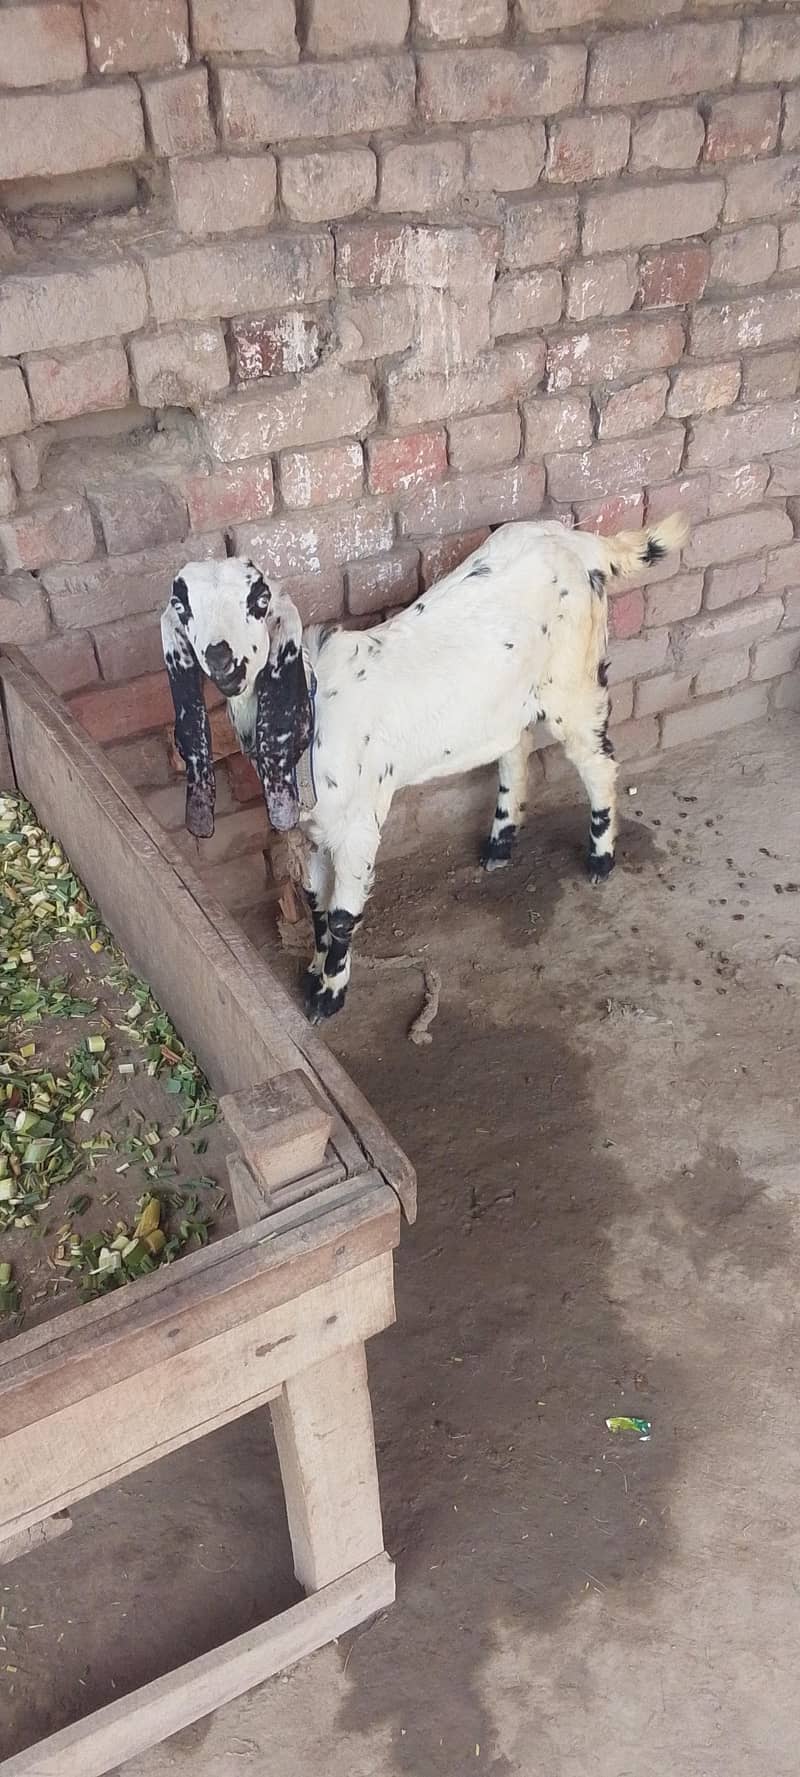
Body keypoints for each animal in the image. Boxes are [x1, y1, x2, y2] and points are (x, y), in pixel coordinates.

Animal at [162, 512, 689, 1022]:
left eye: (259, 599)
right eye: (182, 605)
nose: (222, 658)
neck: (313, 707)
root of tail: (580, 541)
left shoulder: (358, 825)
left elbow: (341, 915)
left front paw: (329, 997)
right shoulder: (312, 831)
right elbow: (315, 901)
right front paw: (313, 970)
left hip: (573, 683)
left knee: (599, 764)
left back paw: (600, 858)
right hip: (506, 700)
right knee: (515, 750)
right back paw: (499, 845)